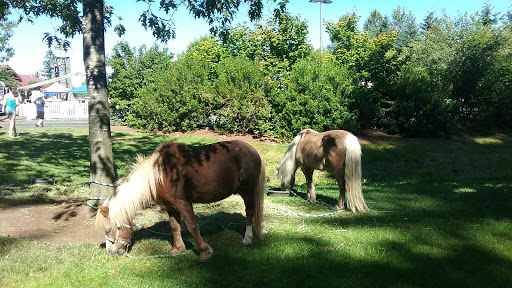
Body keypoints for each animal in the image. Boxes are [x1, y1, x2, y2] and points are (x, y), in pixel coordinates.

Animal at [93, 141, 266, 260]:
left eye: (108, 230)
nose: (111, 252)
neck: (159, 175)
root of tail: (253, 150)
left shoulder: (184, 203)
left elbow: (192, 226)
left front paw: (204, 252)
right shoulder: (171, 206)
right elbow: (174, 227)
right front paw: (177, 250)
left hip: (247, 192)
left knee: (250, 212)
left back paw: (247, 239)